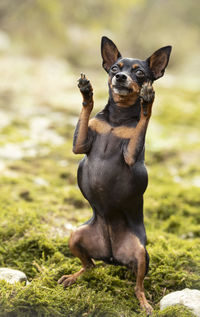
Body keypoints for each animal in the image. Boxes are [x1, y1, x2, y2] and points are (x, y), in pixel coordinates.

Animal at [58, 36, 172, 314]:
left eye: (140, 73)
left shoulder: (131, 155)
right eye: (114, 68)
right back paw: (74, 276)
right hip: (76, 235)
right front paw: (86, 93)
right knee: (90, 266)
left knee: (138, 285)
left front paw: (147, 101)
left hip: (140, 253)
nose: (120, 77)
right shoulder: (80, 145)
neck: (118, 117)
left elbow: (144, 120)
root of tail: (111, 256)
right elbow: (86, 113)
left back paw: (144, 303)